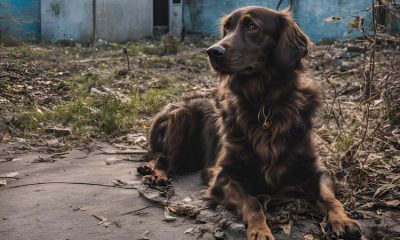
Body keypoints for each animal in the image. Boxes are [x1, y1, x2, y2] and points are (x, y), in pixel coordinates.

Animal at [138, 6, 362, 240]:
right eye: (227, 28)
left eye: (252, 27)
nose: (212, 51)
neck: (264, 103)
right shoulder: (223, 176)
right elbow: (251, 201)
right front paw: (260, 229)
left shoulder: (316, 169)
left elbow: (330, 198)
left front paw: (343, 220)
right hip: (182, 116)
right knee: (163, 158)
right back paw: (156, 174)